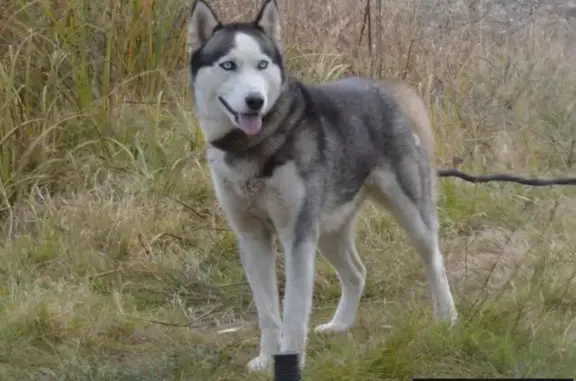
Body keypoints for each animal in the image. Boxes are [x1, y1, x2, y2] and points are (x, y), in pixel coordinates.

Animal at [187, 0, 456, 370]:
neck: (255, 146)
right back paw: (341, 324)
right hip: (327, 230)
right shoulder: (253, 236)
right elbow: (268, 313)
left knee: (435, 261)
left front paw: (291, 361)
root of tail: (382, 87)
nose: (255, 100)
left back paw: (447, 317)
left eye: (262, 64)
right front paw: (266, 360)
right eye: (228, 65)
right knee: (357, 273)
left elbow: (294, 313)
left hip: (409, 216)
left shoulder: (297, 237)